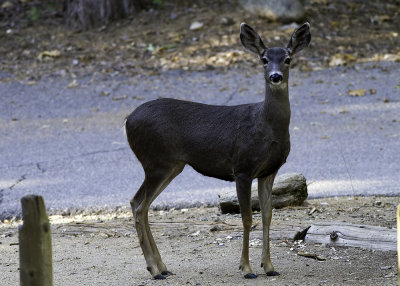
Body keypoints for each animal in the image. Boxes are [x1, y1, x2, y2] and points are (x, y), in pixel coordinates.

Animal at [126, 22, 310, 280]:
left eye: (288, 58)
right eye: (263, 59)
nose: (275, 76)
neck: (268, 127)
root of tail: (127, 121)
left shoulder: (269, 171)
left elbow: (267, 216)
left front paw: (269, 266)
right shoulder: (242, 167)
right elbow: (247, 218)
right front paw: (246, 269)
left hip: (171, 166)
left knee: (141, 204)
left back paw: (162, 266)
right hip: (155, 162)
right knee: (138, 203)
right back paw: (154, 269)